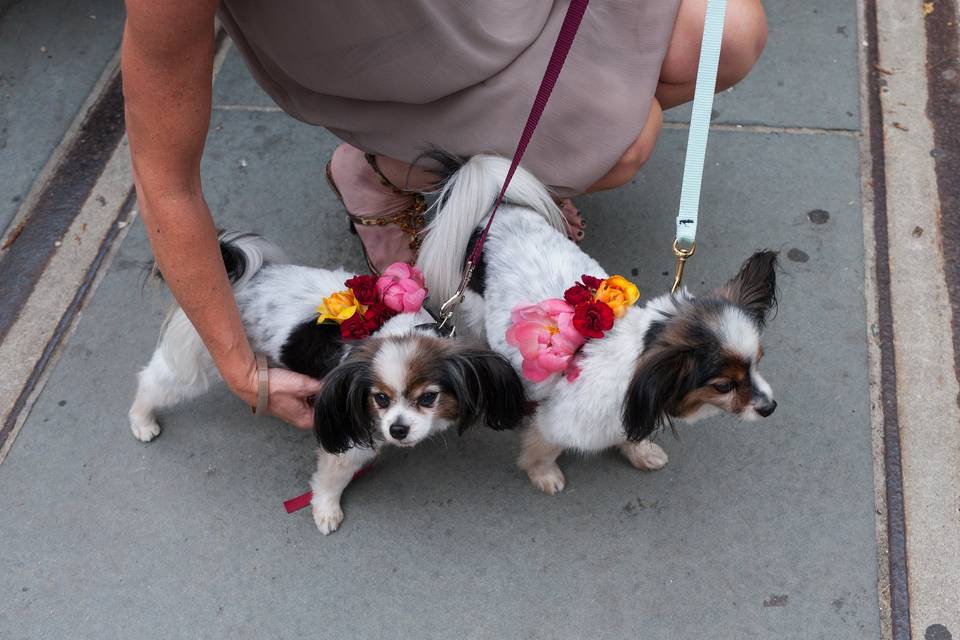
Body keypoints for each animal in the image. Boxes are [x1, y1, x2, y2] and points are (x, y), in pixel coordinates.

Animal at [127, 232, 524, 532]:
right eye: (379, 398)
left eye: (428, 398)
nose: (396, 430)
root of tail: (239, 274)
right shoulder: (350, 433)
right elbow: (332, 477)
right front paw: (326, 510)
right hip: (203, 359)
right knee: (152, 380)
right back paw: (142, 421)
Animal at [420, 155, 780, 496]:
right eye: (724, 386)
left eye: (758, 363)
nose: (770, 407)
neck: (636, 374)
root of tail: (491, 216)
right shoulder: (560, 420)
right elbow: (543, 448)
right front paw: (543, 475)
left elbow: (629, 435)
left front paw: (641, 451)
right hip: (473, 314)